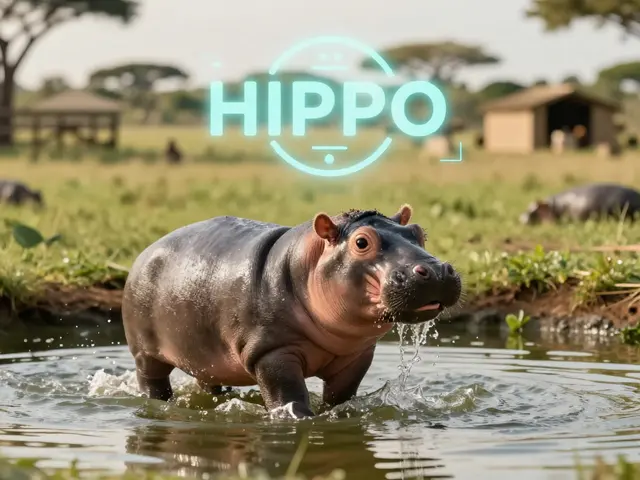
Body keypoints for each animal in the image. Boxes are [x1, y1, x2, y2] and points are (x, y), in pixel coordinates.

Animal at [122, 205, 462, 418]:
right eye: (362, 242)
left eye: (418, 232)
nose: (436, 270)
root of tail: (146, 250)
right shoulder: (272, 352)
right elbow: (288, 396)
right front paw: (299, 419)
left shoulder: (356, 357)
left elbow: (341, 397)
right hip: (144, 353)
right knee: (152, 379)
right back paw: (159, 401)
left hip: (205, 354)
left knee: (208, 380)